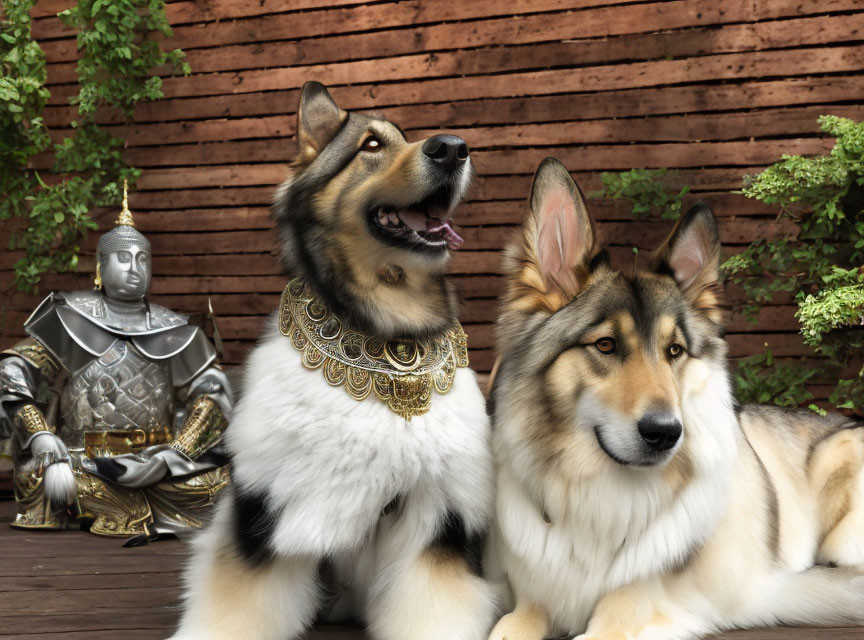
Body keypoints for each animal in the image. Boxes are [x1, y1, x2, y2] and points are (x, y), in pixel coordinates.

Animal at [486, 156, 864, 640]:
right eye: (605, 345)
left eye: (675, 351)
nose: (666, 433)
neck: (599, 497)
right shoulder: (528, 605)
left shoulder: (629, 609)